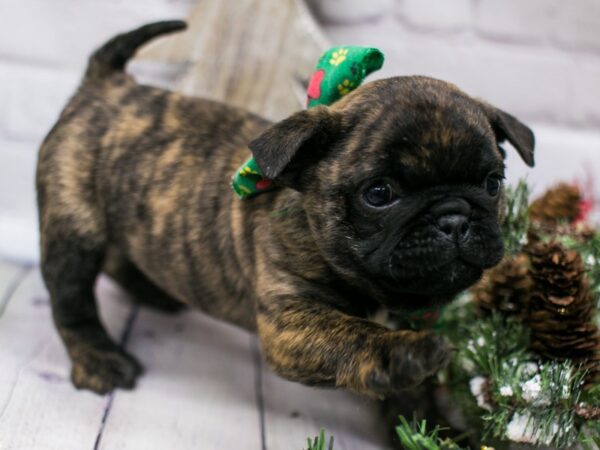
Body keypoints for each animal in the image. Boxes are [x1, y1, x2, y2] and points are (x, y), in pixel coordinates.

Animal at [36, 22, 536, 400]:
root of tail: (105, 83)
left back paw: (154, 291)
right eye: (379, 193)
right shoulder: (291, 322)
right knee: (71, 299)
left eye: (493, 183)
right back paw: (99, 360)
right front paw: (404, 354)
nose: (454, 217)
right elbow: (353, 335)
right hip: (73, 228)